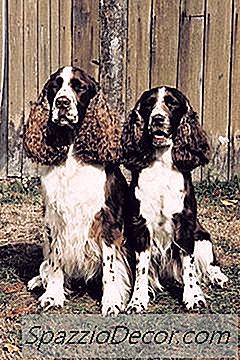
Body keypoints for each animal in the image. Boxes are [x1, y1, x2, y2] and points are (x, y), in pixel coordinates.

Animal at [23, 67, 132, 316]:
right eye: (55, 85)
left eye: (79, 86)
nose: (62, 102)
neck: (73, 151)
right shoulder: (53, 218)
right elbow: (55, 261)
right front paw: (53, 296)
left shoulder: (106, 220)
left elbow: (110, 268)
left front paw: (111, 302)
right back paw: (38, 280)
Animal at [121, 86, 228, 310]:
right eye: (149, 104)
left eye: (172, 103)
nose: (157, 118)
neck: (162, 164)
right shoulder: (140, 224)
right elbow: (141, 268)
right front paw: (137, 300)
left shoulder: (185, 224)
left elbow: (189, 265)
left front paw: (193, 297)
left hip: (202, 237)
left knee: (210, 263)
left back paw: (218, 277)